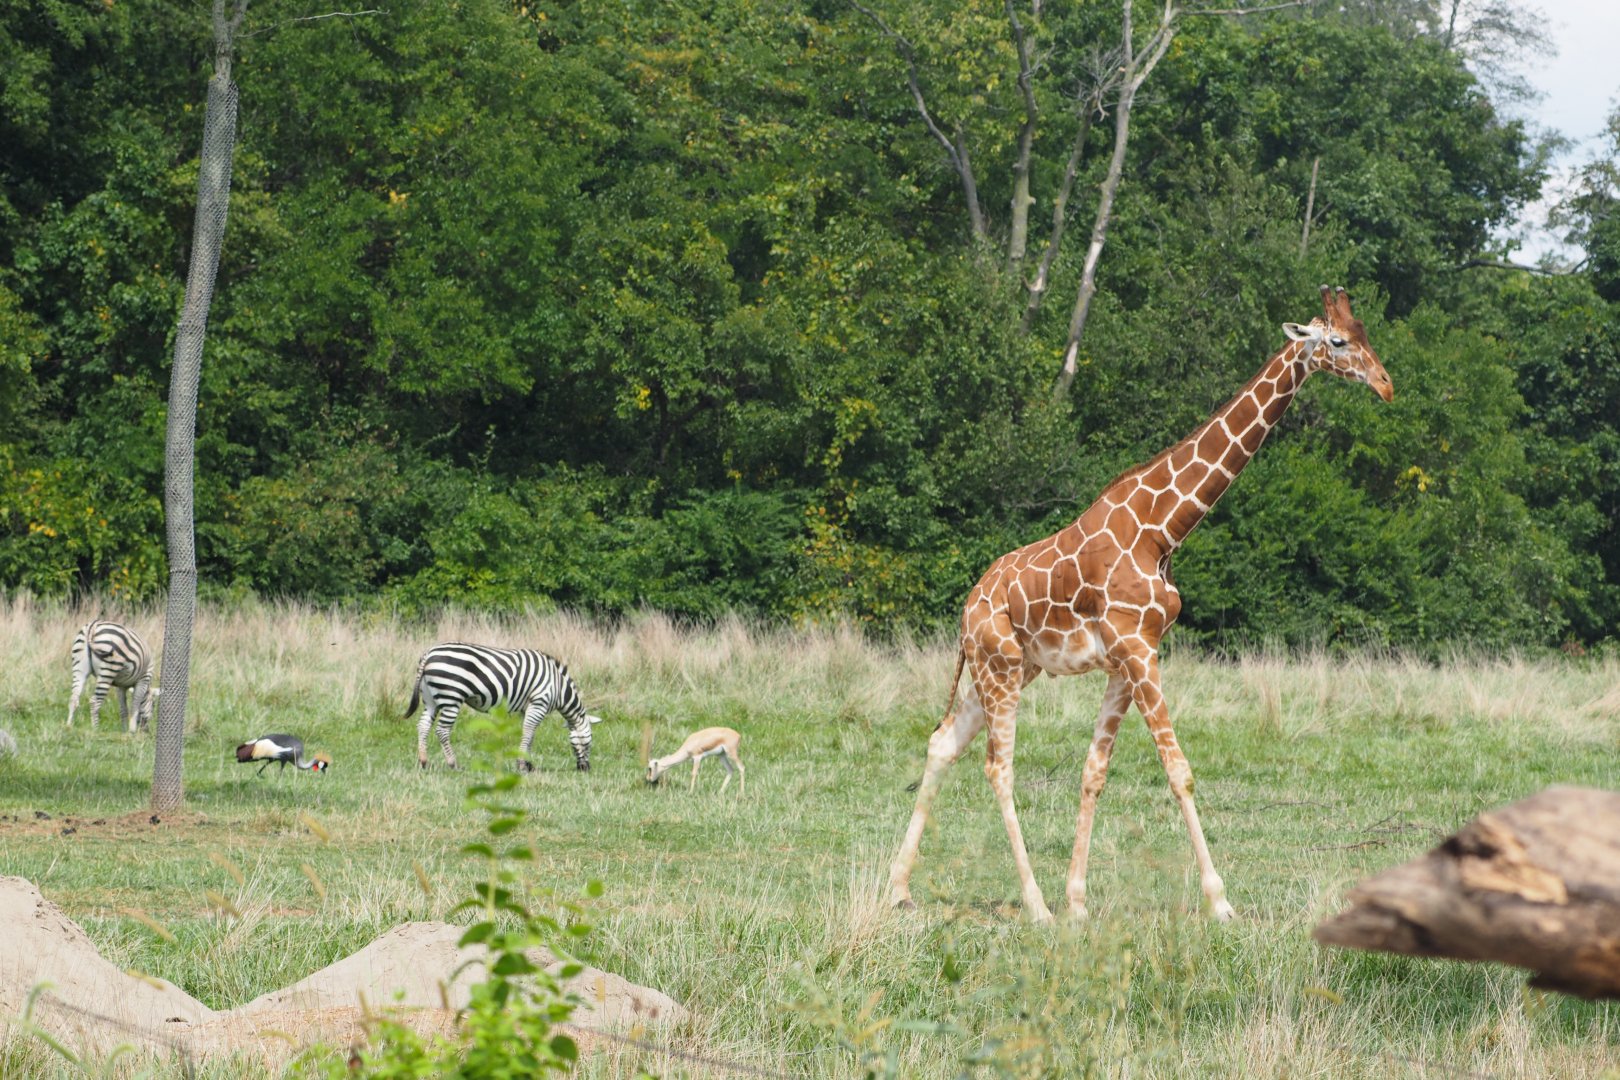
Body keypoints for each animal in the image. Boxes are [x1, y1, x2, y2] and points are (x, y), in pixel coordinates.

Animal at [404, 642, 603, 772]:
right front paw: (522, 765)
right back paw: (454, 764)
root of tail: (429, 653)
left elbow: (530, 735)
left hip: (430, 698)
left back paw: (424, 761)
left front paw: (528, 765)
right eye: (590, 741)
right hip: (451, 696)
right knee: (442, 730)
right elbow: (528, 733)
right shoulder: (539, 703)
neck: (558, 687)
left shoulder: (527, 707)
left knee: (423, 725)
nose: (585, 769)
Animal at [889, 286, 1392, 923]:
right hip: (999, 666)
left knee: (943, 744)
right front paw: (1220, 902)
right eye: (1338, 340)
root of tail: (966, 608)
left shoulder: (1131, 658)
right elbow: (1179, 771)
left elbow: (1094, 771)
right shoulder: (1135, 649)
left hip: (1005, 669)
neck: (1164, 529)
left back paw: (899, 888)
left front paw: (1079, 902)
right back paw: (1035, 906)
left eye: (1366, 334)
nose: (1385, 385)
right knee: (997, 768)